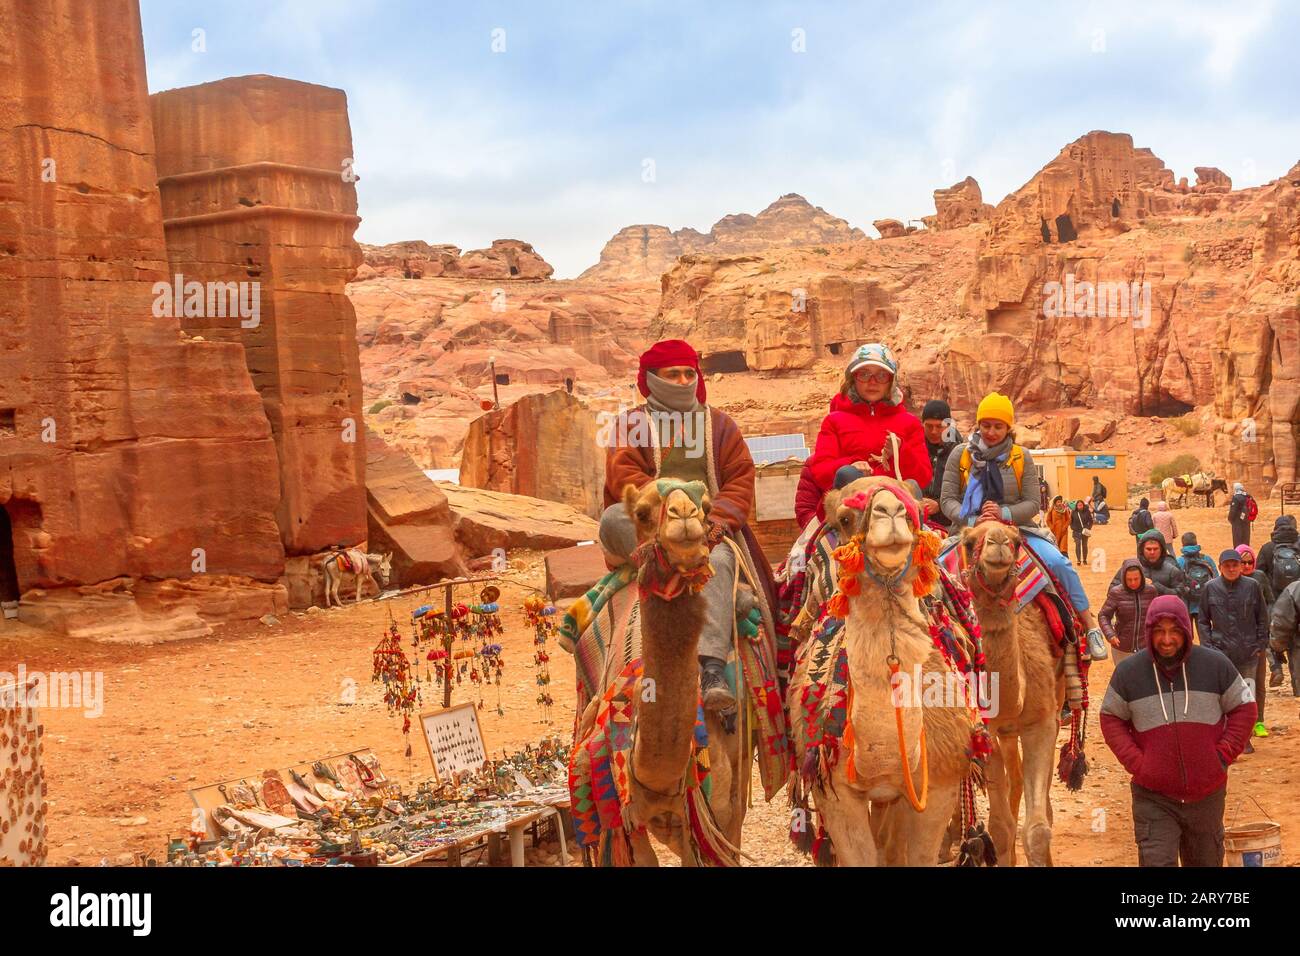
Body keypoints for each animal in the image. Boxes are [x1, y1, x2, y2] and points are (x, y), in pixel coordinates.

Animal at [967, 520, 1066, 868]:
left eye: (1016, 541)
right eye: (969, 542)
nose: (997, 542)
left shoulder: (1042, 722)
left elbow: (1037, 829)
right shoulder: (985, 733)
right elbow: (1000, 827)